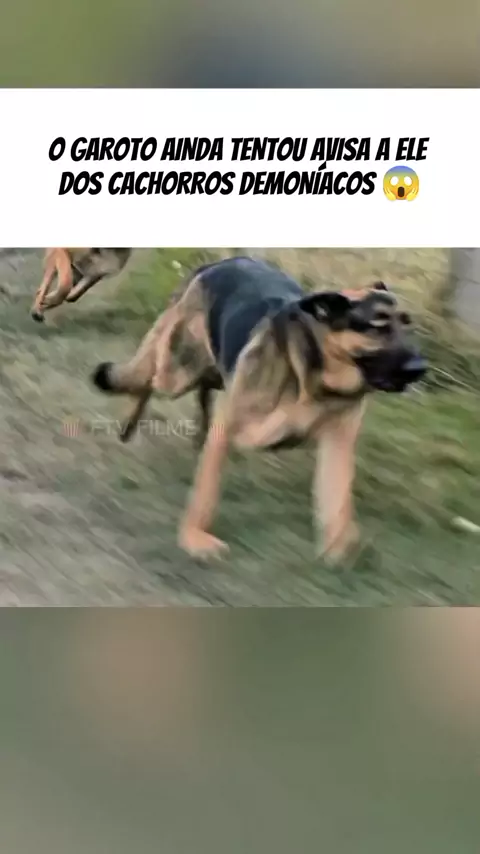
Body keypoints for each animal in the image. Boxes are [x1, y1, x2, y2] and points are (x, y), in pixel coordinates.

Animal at [91, 256, 427, 564]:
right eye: (377, 327)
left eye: (406, 324)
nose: (421, 368)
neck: (314, 376)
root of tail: (214, 264)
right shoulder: (229, 427)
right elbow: (206, 493)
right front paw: (194, 538)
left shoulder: (338, 440)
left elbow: (338, 497)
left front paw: (339, 549)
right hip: (177, 373)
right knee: (148, 377)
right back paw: (130, 425)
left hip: (210, 370)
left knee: (200, 389)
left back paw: (197, 433)